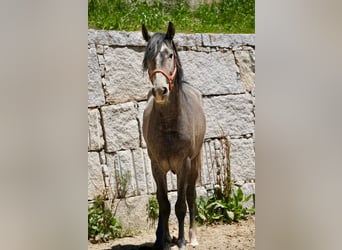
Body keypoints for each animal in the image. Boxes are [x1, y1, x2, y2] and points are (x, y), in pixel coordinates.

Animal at [142, 22, 206, 250]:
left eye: (170, 55)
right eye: (148, 57)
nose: (159, 90)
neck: (170, 123)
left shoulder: (184, 164)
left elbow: (180, 205)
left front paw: (182, 242)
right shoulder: (156, 166)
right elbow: (164, 204)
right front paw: (162, 241)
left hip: (195, 163)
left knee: (191, 196)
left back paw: (192, 236)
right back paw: (166, 236)